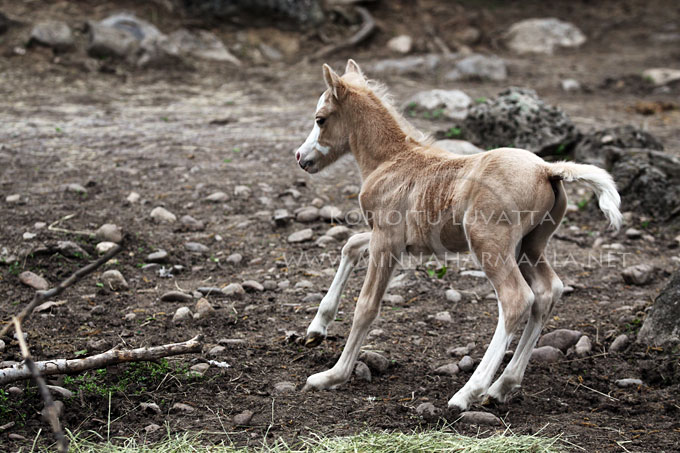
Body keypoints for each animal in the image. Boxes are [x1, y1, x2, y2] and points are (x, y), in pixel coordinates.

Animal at [294, 60, 620, 410]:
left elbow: (366, 306)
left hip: (489, 242)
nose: (300, 157)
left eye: (320, 119)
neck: (390, 160)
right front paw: (316, 329)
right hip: (529, 246)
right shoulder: (396, 239)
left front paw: (332, 376)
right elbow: (350, 245)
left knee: (517, 299)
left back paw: (468, 392)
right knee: (548, 291)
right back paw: (501, 386)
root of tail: (547, 169)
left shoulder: (387, 239)